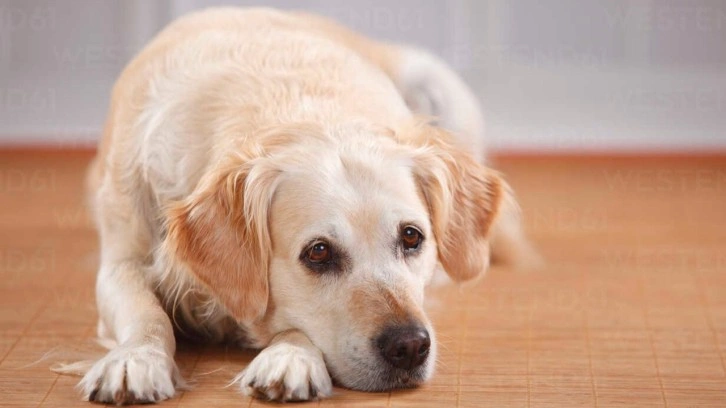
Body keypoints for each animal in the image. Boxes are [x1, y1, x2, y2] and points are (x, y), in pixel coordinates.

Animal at [81, 7, 528, 404]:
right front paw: (136, 360)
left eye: (412, 237)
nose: (410, 347)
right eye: (319, 253)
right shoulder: (121, 259)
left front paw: (288, 356)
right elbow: (146, 312)